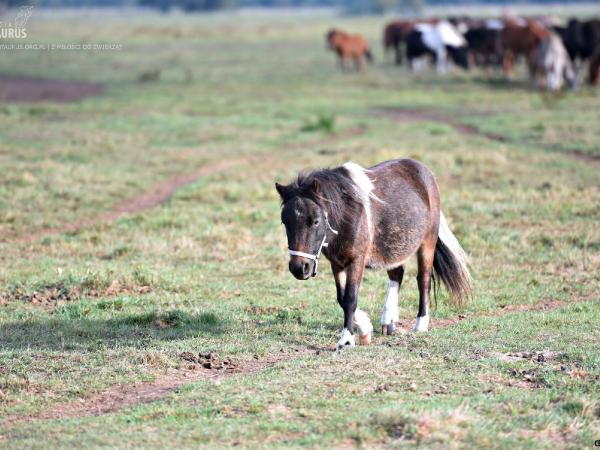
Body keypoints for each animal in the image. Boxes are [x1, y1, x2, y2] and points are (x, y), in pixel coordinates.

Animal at [276, 160, 474, 350]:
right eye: (284, 221)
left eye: (316, 221)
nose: (299, 268)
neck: (346, 216)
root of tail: (425, 171)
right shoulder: (336, 263)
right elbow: (341, 298)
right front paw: (365, 328)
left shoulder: (357, 260)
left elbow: (350, 298)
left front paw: (347, 339)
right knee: (397, 275)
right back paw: (389, 320)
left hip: (427, 242)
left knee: (423, 279)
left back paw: (421, 324)